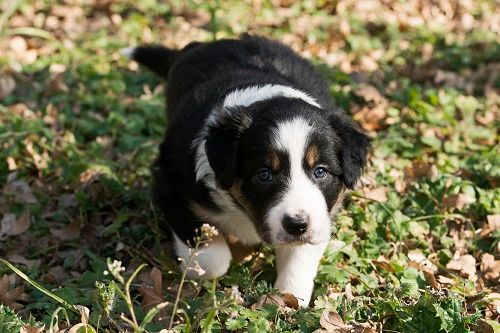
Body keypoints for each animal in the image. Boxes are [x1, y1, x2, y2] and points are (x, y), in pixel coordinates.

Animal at [123, 35, 370, 304]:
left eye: (320, 172)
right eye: (264, 175)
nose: (297, 225)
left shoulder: (319, 217)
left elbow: (299, 258)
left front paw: (290, 299)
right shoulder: (171, 186)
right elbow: (213, 259)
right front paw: (195, 268)